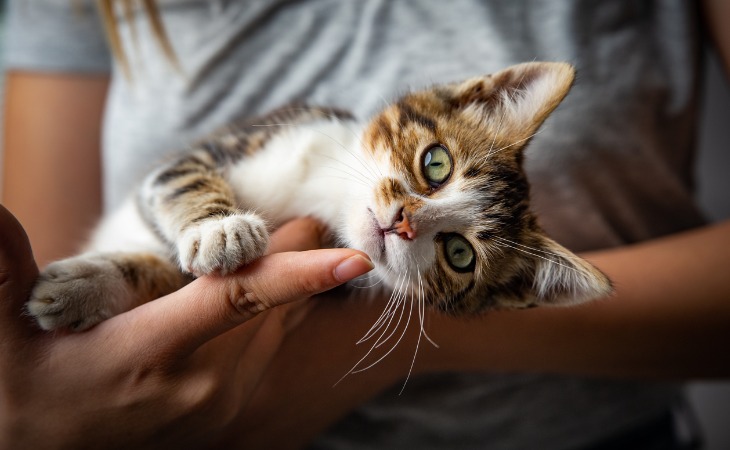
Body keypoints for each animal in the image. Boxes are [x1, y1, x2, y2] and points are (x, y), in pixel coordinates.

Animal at [27, 61, 608, 332]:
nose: (402, 222)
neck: (324, 193)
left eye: (460, 254)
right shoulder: (225, 145)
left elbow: (168, 274)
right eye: (436, 165)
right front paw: (220, 228)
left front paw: (83, 288)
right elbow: (181, 178)